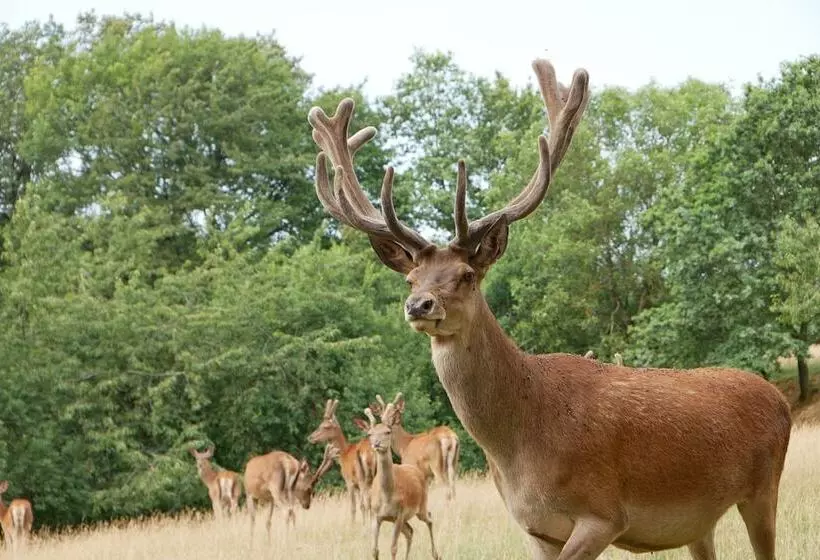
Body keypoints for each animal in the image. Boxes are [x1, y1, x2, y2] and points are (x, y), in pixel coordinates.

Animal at [364, 405, 440, 560]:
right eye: (369, 434)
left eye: (387, 432)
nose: (376, 444)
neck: (387, 495)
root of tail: (416, 470)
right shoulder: (376, 515)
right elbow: (374, 550)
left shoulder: (399, 513)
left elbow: (393, 548)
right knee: (410, 531)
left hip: (421, 505)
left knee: (429, 518)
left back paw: (436, 554)